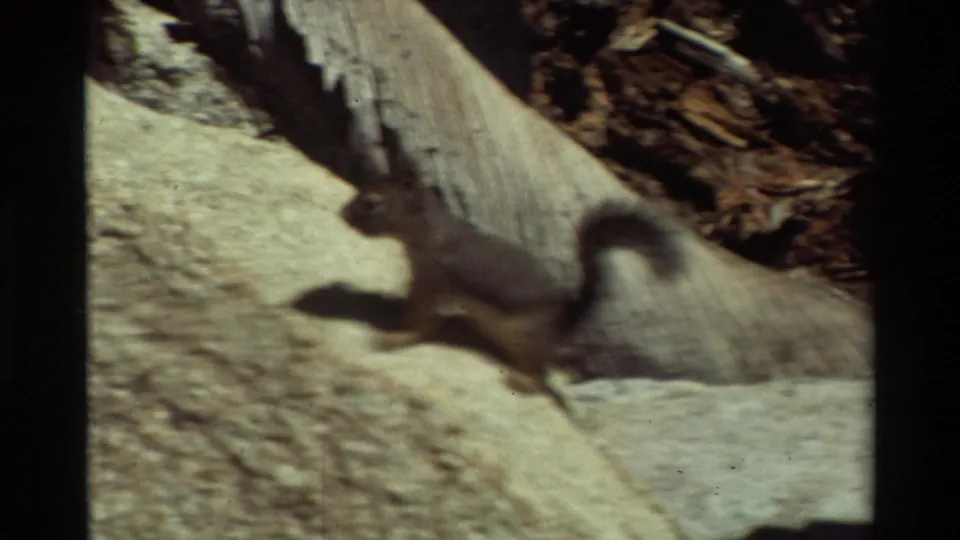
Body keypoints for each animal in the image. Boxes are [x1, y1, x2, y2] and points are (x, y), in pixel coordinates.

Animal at [339, 174, 685, 412]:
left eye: (372, 202)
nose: (343, 213)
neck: (427, 232)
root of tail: (567, 315)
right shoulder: (423, 281)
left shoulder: (435, 282)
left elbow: (423, 321)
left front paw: (395, 337)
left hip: (530, 336)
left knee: (542, 373)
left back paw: (523, 380)